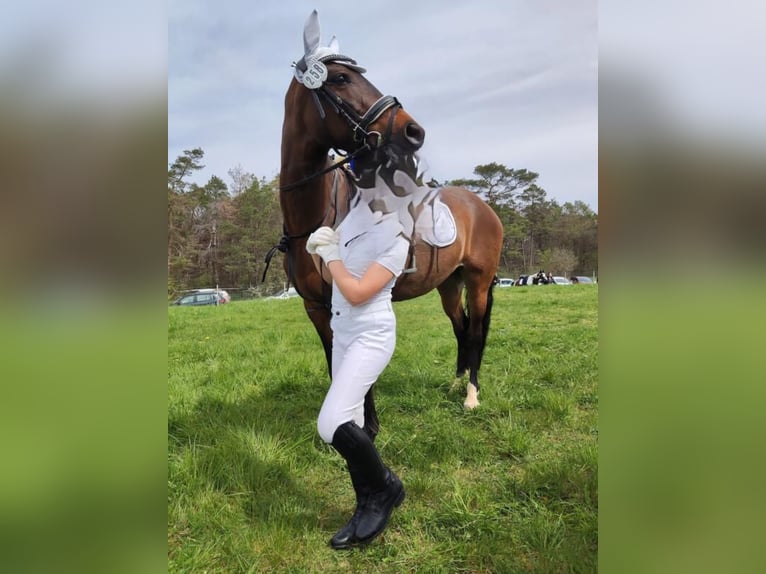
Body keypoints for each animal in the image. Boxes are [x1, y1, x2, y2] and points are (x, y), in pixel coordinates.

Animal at [274, 12, 504, 440]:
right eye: (341, 78)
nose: (414, 131)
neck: (311, 219)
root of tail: (482, 206)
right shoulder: (316, 308)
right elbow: (334, 363)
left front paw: (367, 425)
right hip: (450, 284)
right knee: (461, 327)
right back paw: (454, 384)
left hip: (479, 281)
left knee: (476, 332)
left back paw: (471, 395)